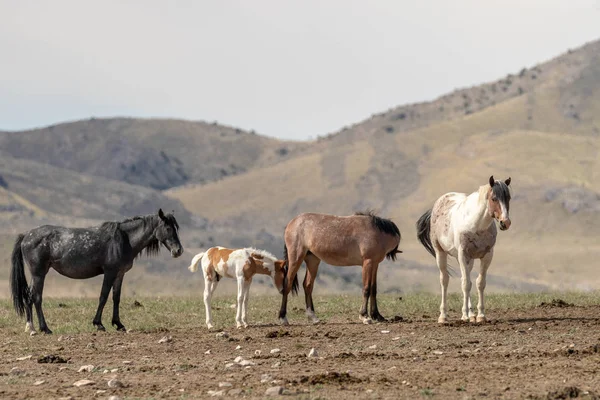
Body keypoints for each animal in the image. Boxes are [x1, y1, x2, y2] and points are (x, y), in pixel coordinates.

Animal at [9, 209, 183, 334]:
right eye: (168, 227)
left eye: (176, 227)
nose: (178, 251)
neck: (124, 240)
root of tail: (26, 235)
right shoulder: (110, 272)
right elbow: (103, 296)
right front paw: (98, 324)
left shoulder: (120, 274)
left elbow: (116, 298)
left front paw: (119, 324)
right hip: (39, 273)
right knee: (36, 297)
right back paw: (44, 328)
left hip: (36, 274)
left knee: (28, 297)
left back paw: (31, 328)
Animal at [418, 177, 510, 324]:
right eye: (494, 198)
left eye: (508, 198)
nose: (505, 222)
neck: (477, 225)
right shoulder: (462, 254)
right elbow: (466, 284)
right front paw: (465, 316)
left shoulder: (487, 256)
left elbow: (479, 283)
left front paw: (480, 315)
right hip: (441, 253)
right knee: (445, 280)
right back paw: (443, 316)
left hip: (468, 260)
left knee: (466, 280)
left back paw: (471, 315)